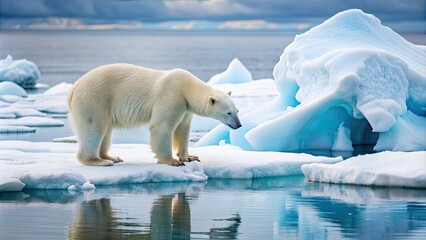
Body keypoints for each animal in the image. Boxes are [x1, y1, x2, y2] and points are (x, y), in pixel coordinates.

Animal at [66, 64, 240, 168]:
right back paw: (99, 161)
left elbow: (183, 130)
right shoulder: (172, 95)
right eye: (228, 112)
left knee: (106, 132)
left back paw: (112, 157)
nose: (239, 125)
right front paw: (172, 161)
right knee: (94, 129)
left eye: (237, 111)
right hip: (95, 99)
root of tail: (73, 88)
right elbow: (162, 126)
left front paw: (189, 157)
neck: (186, 87)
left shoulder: (185, 108)